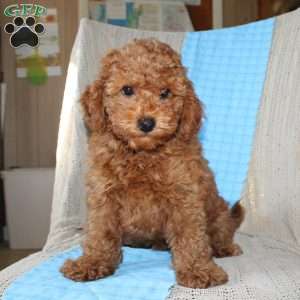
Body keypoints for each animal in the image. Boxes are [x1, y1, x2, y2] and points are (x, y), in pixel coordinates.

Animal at [60, 38, 244, 288]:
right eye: (127, 90)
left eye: (165, 93)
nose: (147, 123)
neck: (142, 155)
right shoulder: (104, 194)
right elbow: (101, 232)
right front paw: (92, 262)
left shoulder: (184, 195)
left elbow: (191, 235)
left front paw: (198, 269)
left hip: (218, 213)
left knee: (220, 231)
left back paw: (224, 247)